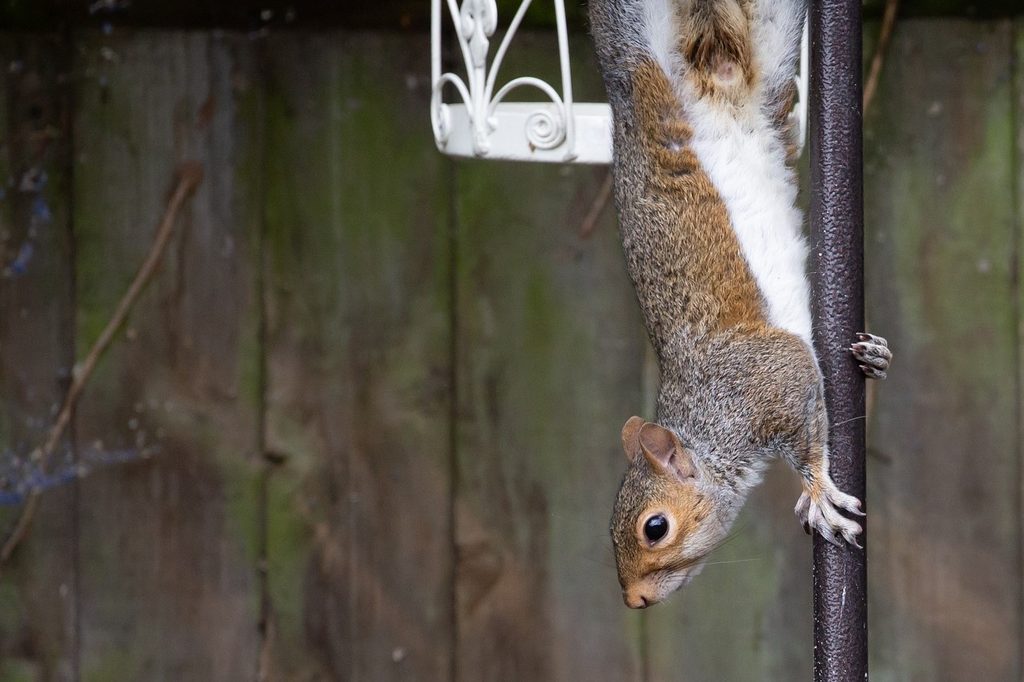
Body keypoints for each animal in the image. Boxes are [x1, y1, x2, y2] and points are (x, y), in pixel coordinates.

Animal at [588, 0, 892, 608]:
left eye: (654, 527)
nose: (634, 601)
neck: (707, 423)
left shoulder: (767, 380)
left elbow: (808, 425)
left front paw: (817, 492)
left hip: (654, 38)